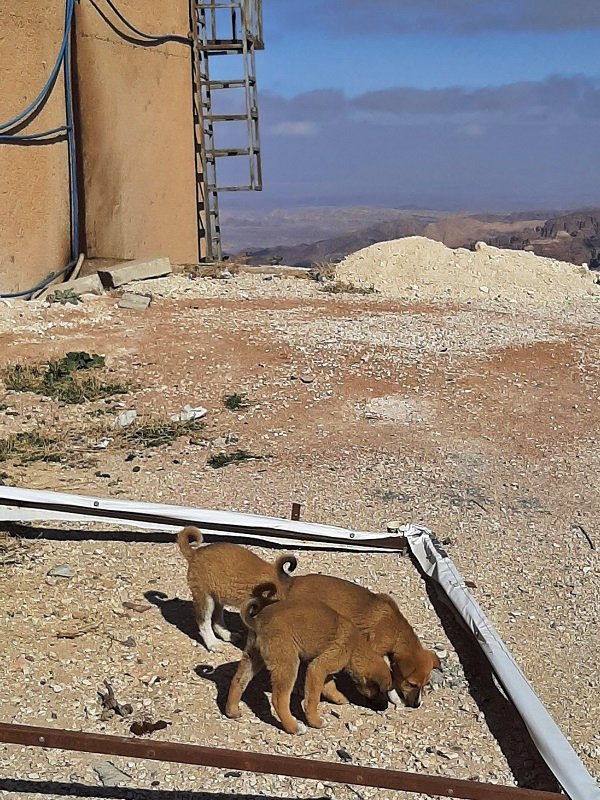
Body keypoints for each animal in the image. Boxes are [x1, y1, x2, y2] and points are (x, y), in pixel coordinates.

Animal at [226, 592, 394, 736]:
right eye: (382, 691)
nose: (385, 708)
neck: (355, 647)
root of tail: (258, 621)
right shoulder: (318, 667)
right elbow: (313, 699)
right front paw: (315, 721)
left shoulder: (320, 667)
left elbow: (329, 686)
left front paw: (339, 698)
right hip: (288, 664)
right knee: (279, 700)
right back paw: (293, 727)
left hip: (252, 658)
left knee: (237, 681)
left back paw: (232, 711)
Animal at [278, 572, 440, 708]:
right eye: (412, 684)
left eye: (425, 684)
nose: (417, 705)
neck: (396, 630)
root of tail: (290, 583)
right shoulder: (374, 651)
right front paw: (393, 697)